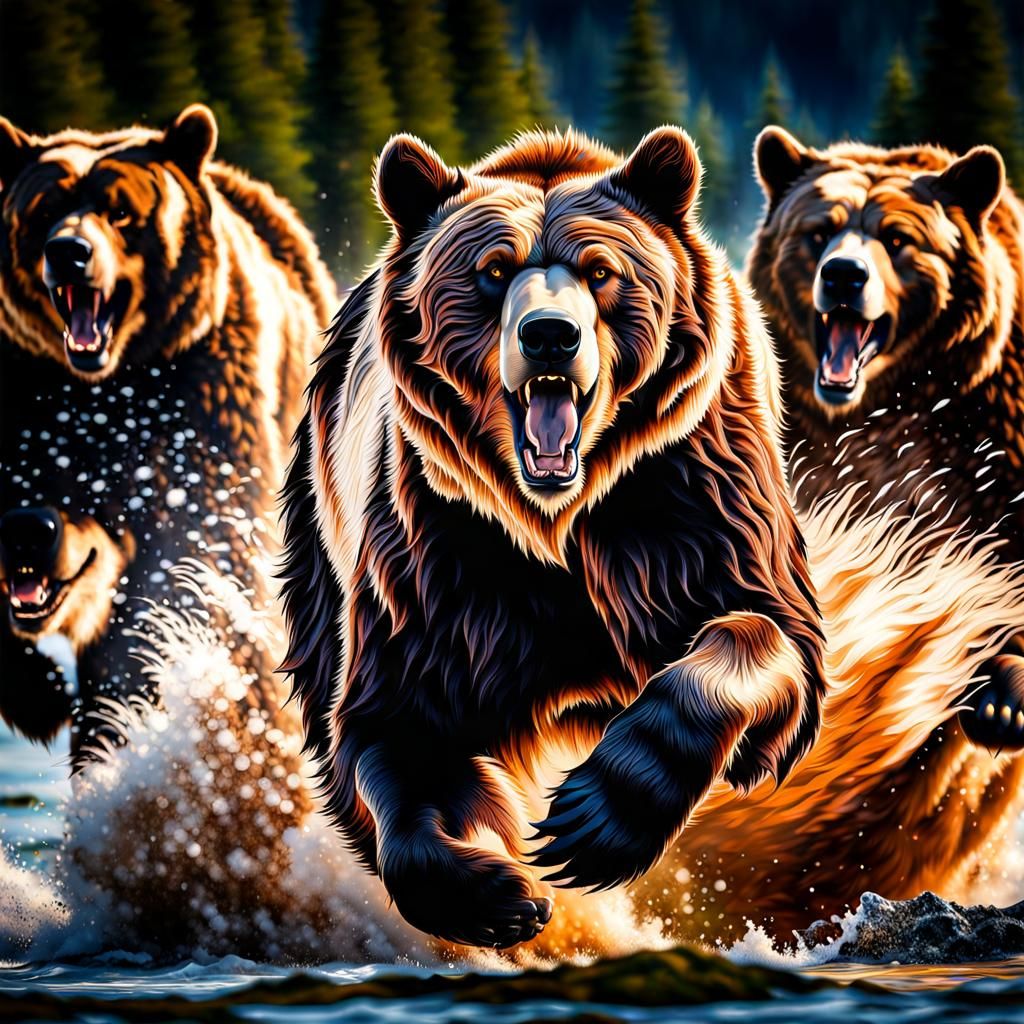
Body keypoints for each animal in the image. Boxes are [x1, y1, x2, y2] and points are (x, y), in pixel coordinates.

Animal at [0, 104, 336, 765]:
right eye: (44, 210)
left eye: (121, 211)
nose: (69, 252)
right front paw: (42, 696)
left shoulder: (200, 413)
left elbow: (187, 576)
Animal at [280, 126, 828, 949]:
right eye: (493, 270)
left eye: (600, 271)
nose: (548, 336)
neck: (559, 519)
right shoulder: (440, 557)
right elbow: (398, 729)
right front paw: (499, 891)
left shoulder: (690, 497)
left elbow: (763, 634)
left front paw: (596, 817)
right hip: (323, 528)